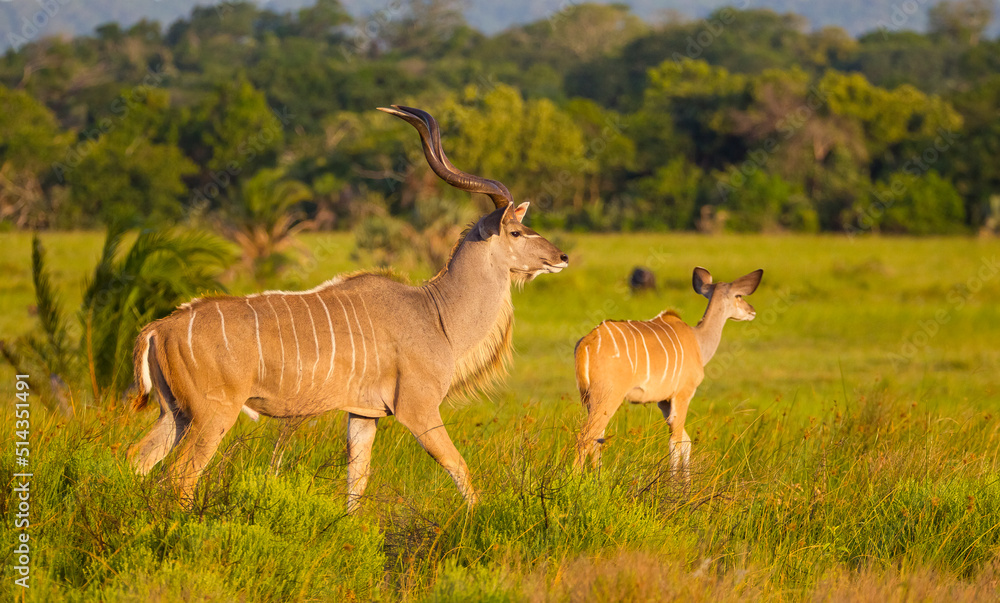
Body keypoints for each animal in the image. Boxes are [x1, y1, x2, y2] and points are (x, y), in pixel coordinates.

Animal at [127, 106, 569, 511]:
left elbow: (356, 482)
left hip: (176, 414)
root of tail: (159, 328)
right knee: (180, 475)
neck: (436, 313)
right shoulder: (419, 410)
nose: (561, 257)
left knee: (137, 460)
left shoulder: (364, 416)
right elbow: (459, 468)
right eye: (516, 231)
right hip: (212, 416)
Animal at [574, 267, 763, 477]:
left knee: (597, 438)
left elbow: (685, 442)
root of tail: (586, 342)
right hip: (608, 397)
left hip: (591, 400)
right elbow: (676, 442)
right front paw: (673, 485)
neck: (698, 340)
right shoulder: (683, 394)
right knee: (585, 437)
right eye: (739, 295)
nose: (752, 310)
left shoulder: (663, 402)